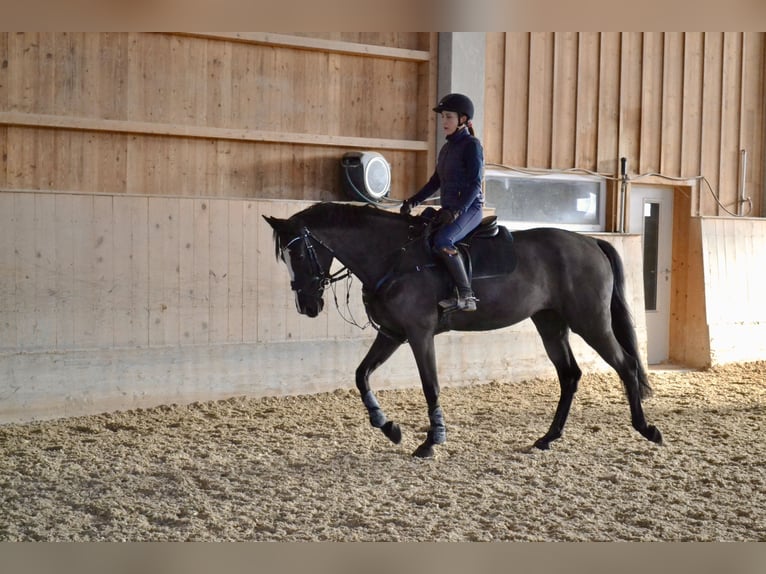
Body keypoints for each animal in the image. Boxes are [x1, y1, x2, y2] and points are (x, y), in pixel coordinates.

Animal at [264, 202, 662, 458]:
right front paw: (388, 426)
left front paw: (431, 441)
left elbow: (431, 385)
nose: (308, 306)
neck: (393, 256)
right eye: (284, 257)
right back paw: (548, 438)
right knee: (570, 375)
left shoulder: (418, 333)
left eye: (298, 253)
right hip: (551, 324)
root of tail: (590, 241)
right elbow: (361, 375)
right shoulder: (392, 333)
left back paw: (647, 429)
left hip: (590, 322)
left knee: (626, 365)